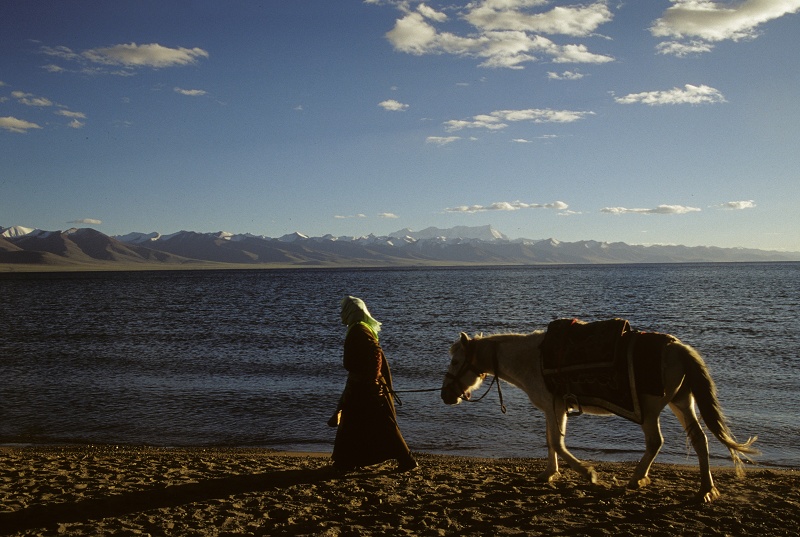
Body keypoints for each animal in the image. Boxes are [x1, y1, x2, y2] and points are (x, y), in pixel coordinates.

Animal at [440, 322, 760, 502]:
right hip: (682, 402)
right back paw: (705, 490)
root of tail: (678, 348)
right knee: (699, 440)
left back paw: (637, 478)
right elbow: (550, 442)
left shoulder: (556, 406)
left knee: (656, 442)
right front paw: (549, 473)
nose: (445, 395)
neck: (532, 359)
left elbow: (557, 443)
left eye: (455, 361)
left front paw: (589, 474)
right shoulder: (551, 408)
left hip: (651, 410)